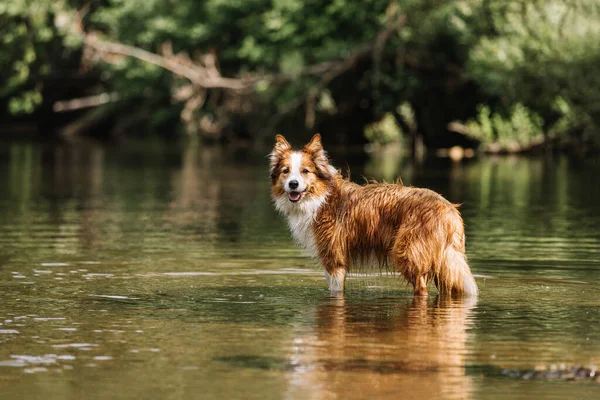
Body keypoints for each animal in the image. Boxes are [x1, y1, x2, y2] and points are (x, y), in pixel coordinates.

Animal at [270, 134, 478, 296]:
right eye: (286, 171)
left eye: (305, 171)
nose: (293, 184)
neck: (321, 197)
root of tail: (448, 208)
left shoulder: (334, 260)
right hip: (444, 262)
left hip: (407, 254)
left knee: (422, 289)